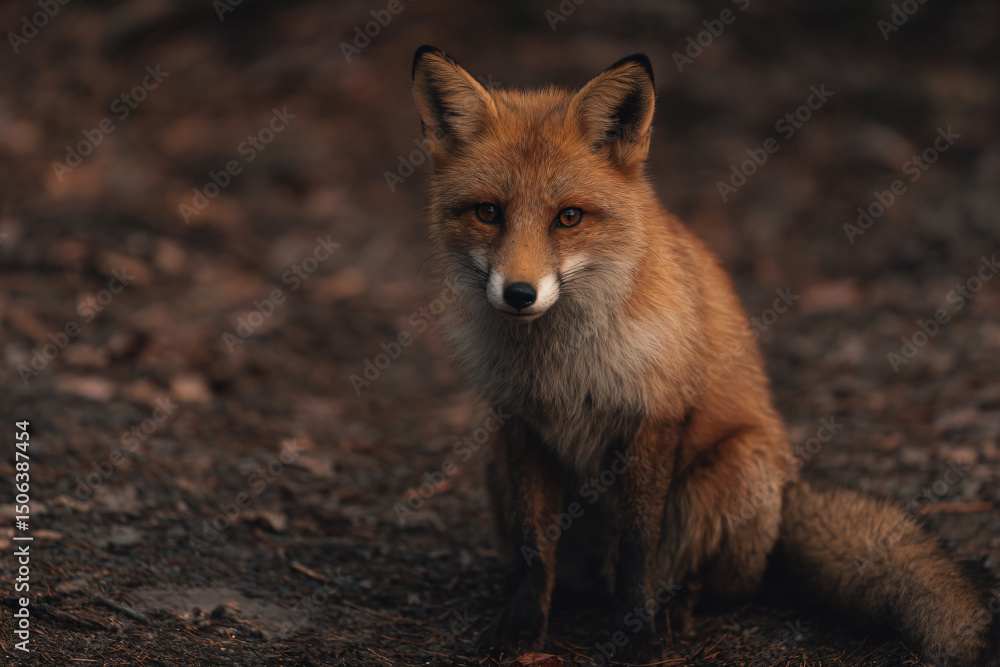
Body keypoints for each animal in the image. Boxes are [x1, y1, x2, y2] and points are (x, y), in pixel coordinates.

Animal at [409, 45, 1000, 666]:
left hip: (735, 469)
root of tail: (789, 489)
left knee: (715, 584)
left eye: (568, 217)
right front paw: (522, 627)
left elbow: (639, 549)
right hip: (495, 465)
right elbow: (532, 548)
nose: (520, 294)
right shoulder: (520, 423)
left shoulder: (654, 416)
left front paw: (636, 635)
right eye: (488, 213)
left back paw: (675, 610)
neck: (560, 366)